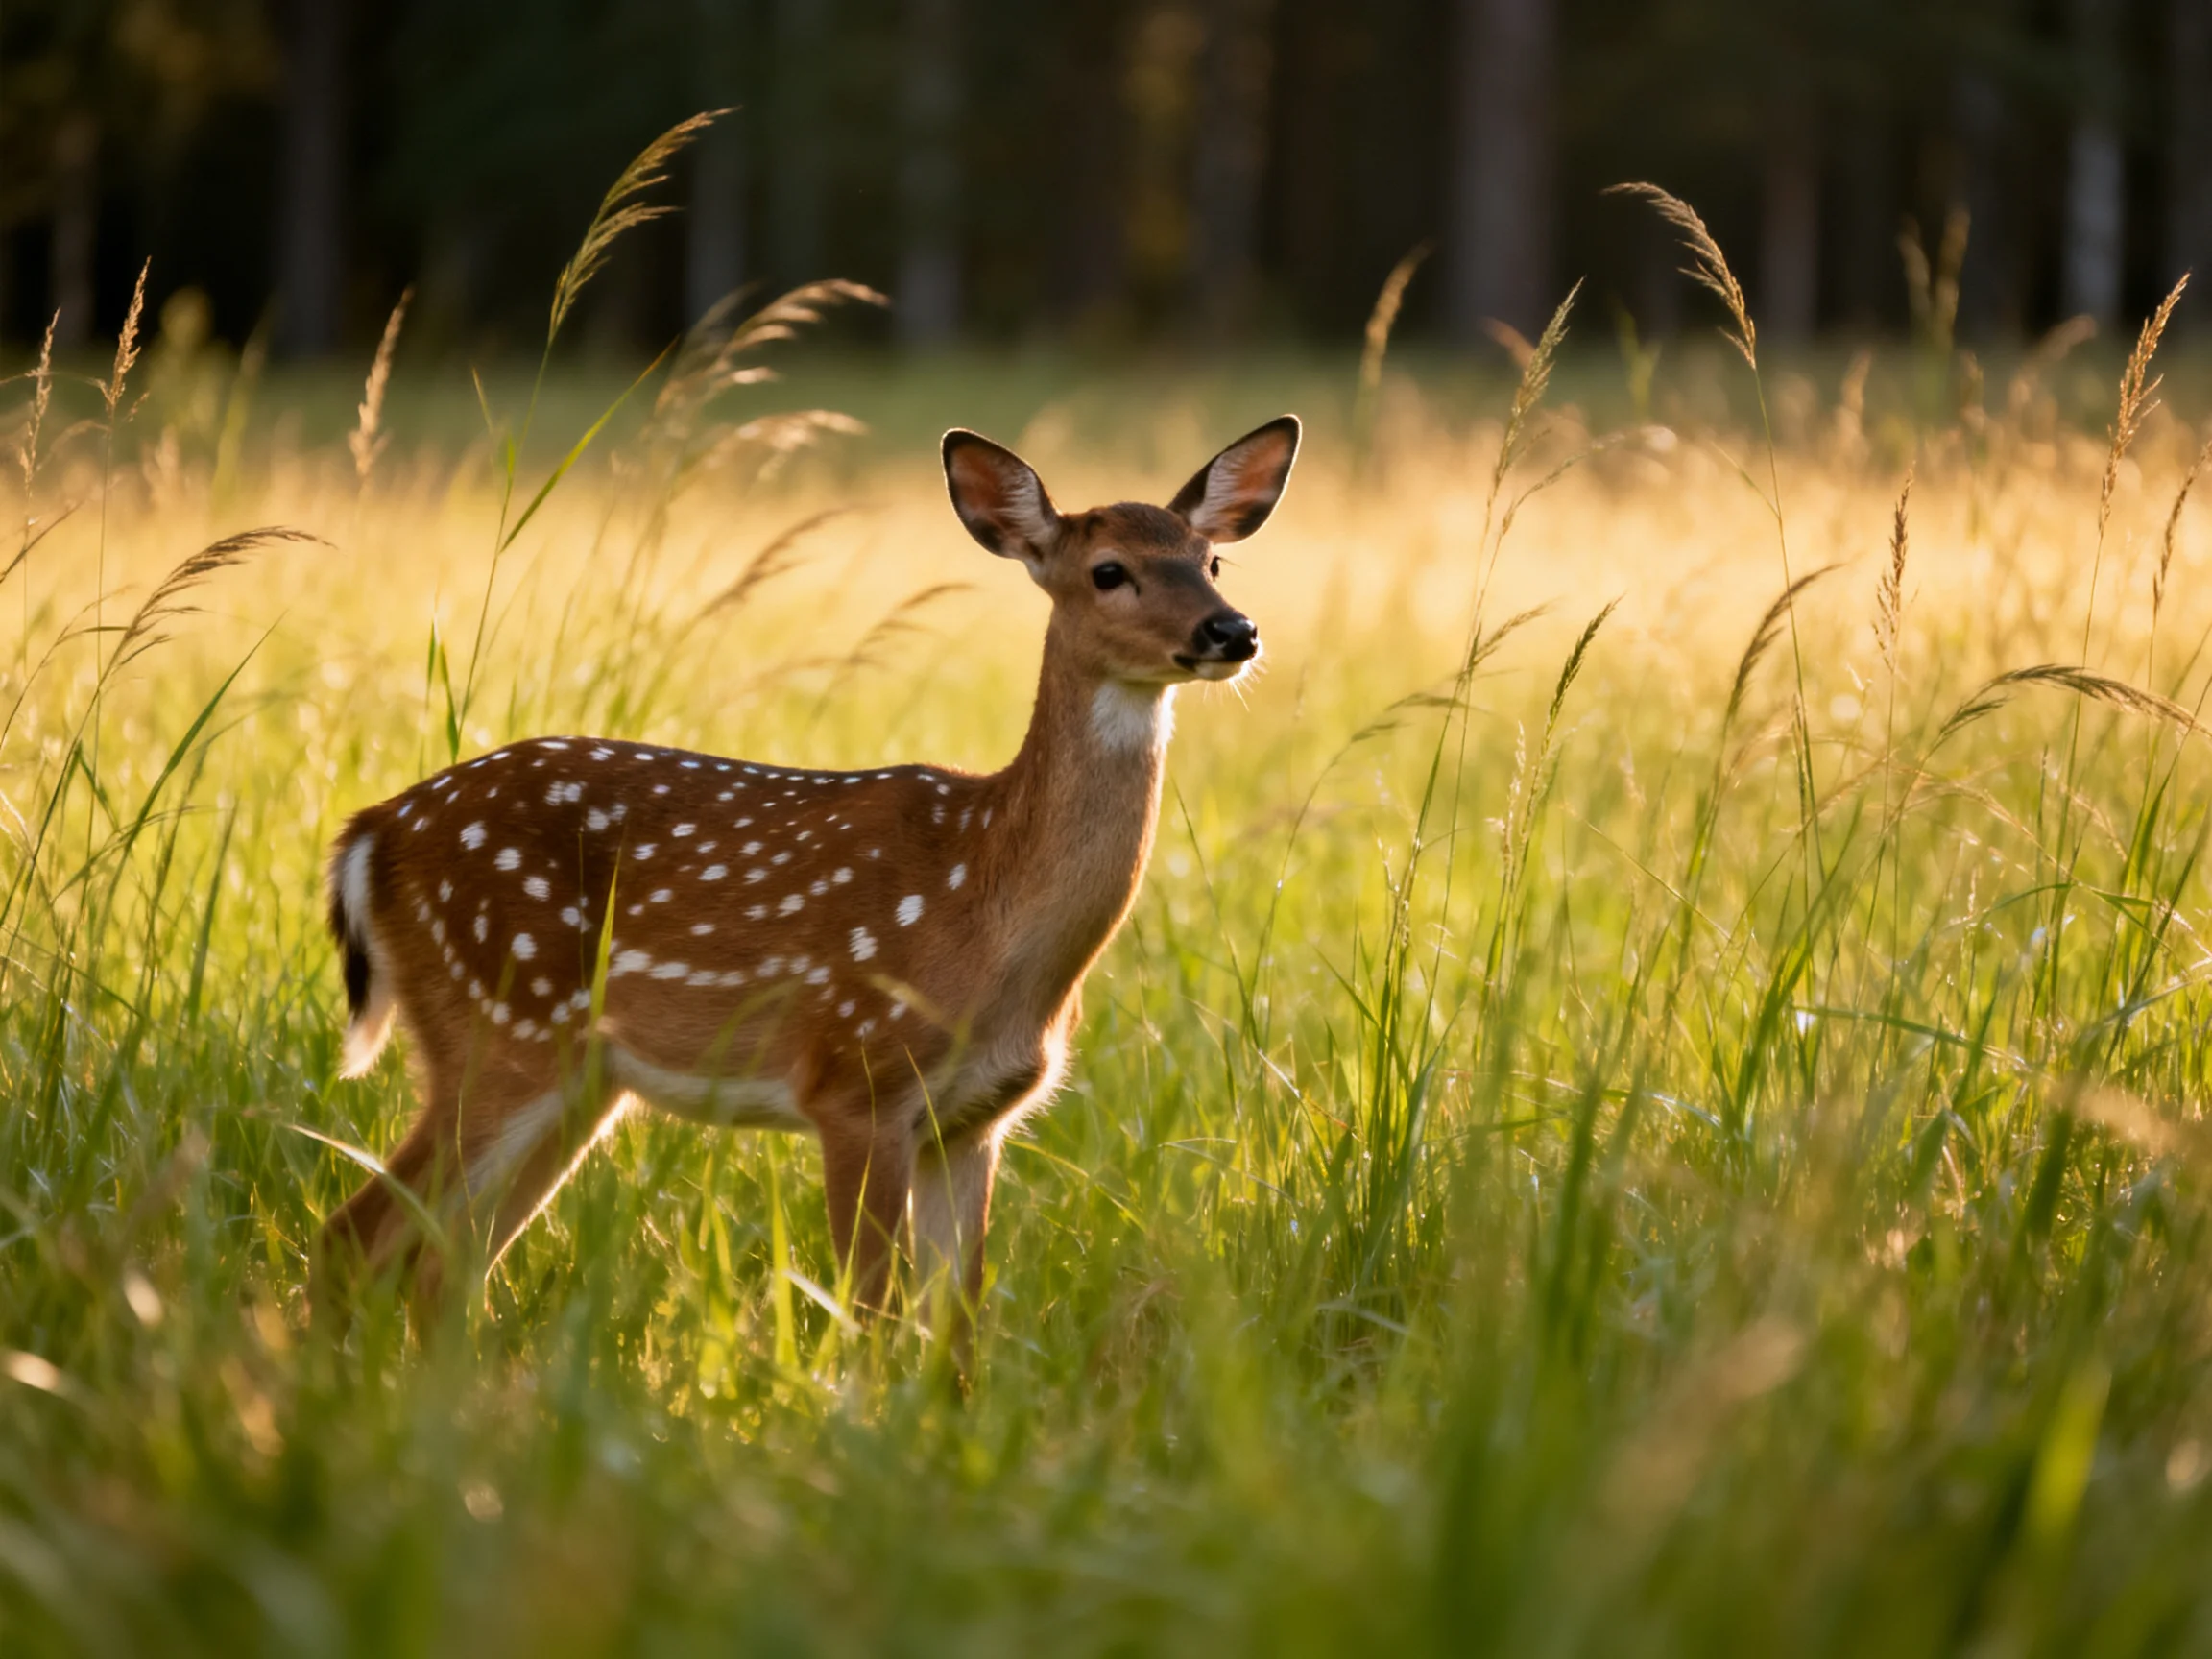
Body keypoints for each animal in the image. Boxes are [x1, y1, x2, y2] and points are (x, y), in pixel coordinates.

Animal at [315, 414, 1300, 1343]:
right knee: (358, 1237)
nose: (1233, 629)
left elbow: (955, 1332)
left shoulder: (975, 1120)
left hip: (578, 1079)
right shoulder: (855, 1080)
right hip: (498, 1027)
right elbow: (872, 1315)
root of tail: (368, 834)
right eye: (1107, 571)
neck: (989, 911)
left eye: (1212, 559)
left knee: (447, 1264)